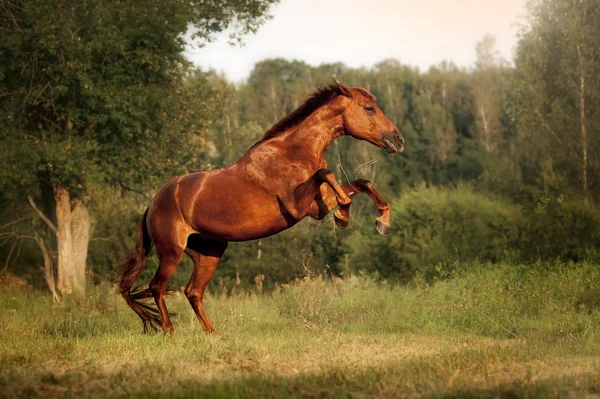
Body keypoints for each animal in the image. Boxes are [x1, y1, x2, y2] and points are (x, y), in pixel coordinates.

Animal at [115, 81, 406, 334]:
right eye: (369, 108)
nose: (398, 140)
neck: (294, 151)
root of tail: (152, 204)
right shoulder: (298, 207)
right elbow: (328, 173)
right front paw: (344, 216)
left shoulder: (317, 207)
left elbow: (362, 182)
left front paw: (382, 222)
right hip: (171, 252)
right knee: (157, 287)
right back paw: (170, 331)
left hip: (210, 253)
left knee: (193, 292)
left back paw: (213, 334)